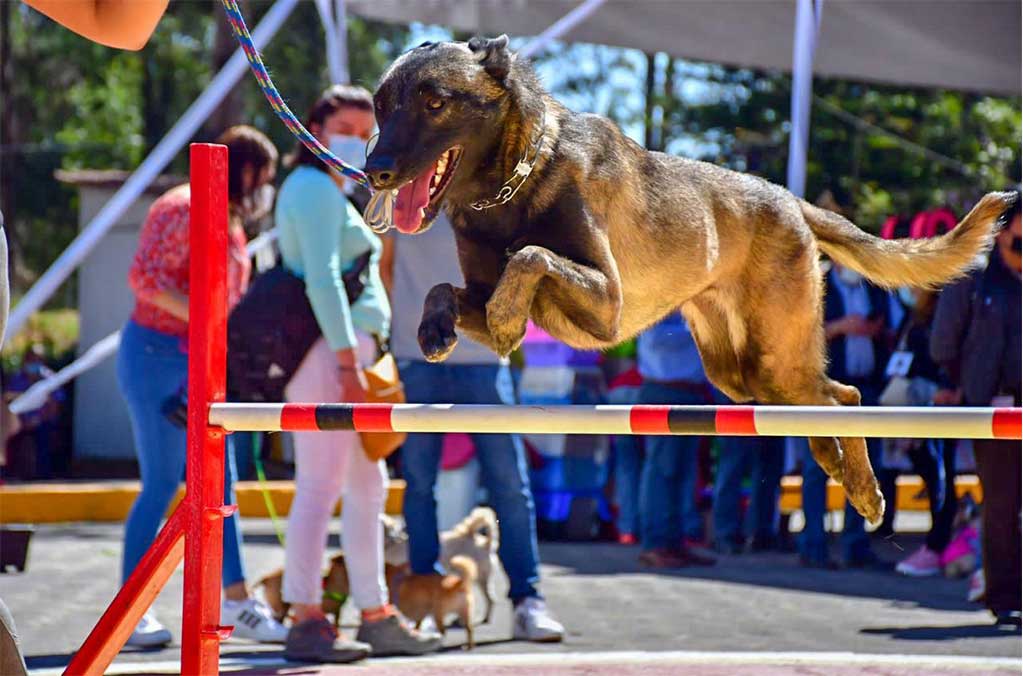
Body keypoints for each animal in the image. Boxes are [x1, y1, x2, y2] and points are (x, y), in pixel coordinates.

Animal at [362, 36, 1014, 523]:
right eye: (380, 105)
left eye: (435, 103)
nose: (375, 171)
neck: (517, 179)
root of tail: (790, 201)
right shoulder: (502, 304)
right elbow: (448, 289)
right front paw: (436, 329)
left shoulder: (606, 303)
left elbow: (530, 257)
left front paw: (501, 309)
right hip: (745, 378)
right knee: (829, 400)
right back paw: (839, 470)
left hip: (774, 357)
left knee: (846, 397)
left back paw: (860, 487)